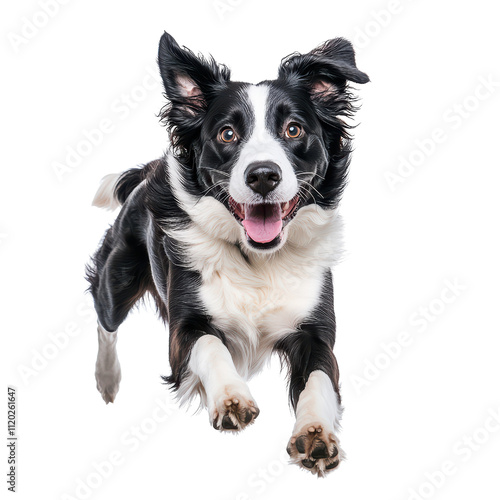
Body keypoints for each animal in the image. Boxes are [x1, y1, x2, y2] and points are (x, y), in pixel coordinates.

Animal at [87, 31, 368, 476]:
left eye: (293, 129)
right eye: (227, 135)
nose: (263, 175)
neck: (258, 259)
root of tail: (149, 170)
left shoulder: (315, 332)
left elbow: (320, 379)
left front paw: (316, 433)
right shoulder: (183, 329)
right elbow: (210, 345)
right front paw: (231, 397)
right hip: (119, 275)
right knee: (105, 318)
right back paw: (107, 378)